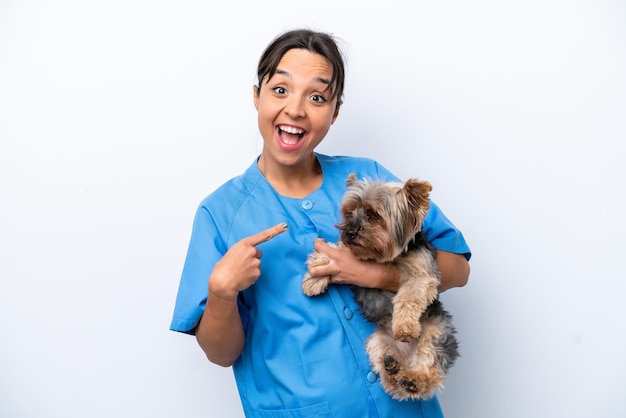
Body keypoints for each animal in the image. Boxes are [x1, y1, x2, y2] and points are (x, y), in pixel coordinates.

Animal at [302, 174, 458, 402]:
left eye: (374, 215)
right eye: (349, 212)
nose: (349, 232)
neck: (386, 257)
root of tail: (407, 357)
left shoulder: (422, 275)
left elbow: (409, 298)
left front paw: (404, 327)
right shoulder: (353, 252)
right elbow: (335, 250)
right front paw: (314, 277)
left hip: (438, 330)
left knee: (429, 367)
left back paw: (414, 380)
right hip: (377, 342)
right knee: (391, 380)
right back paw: (392, 368)